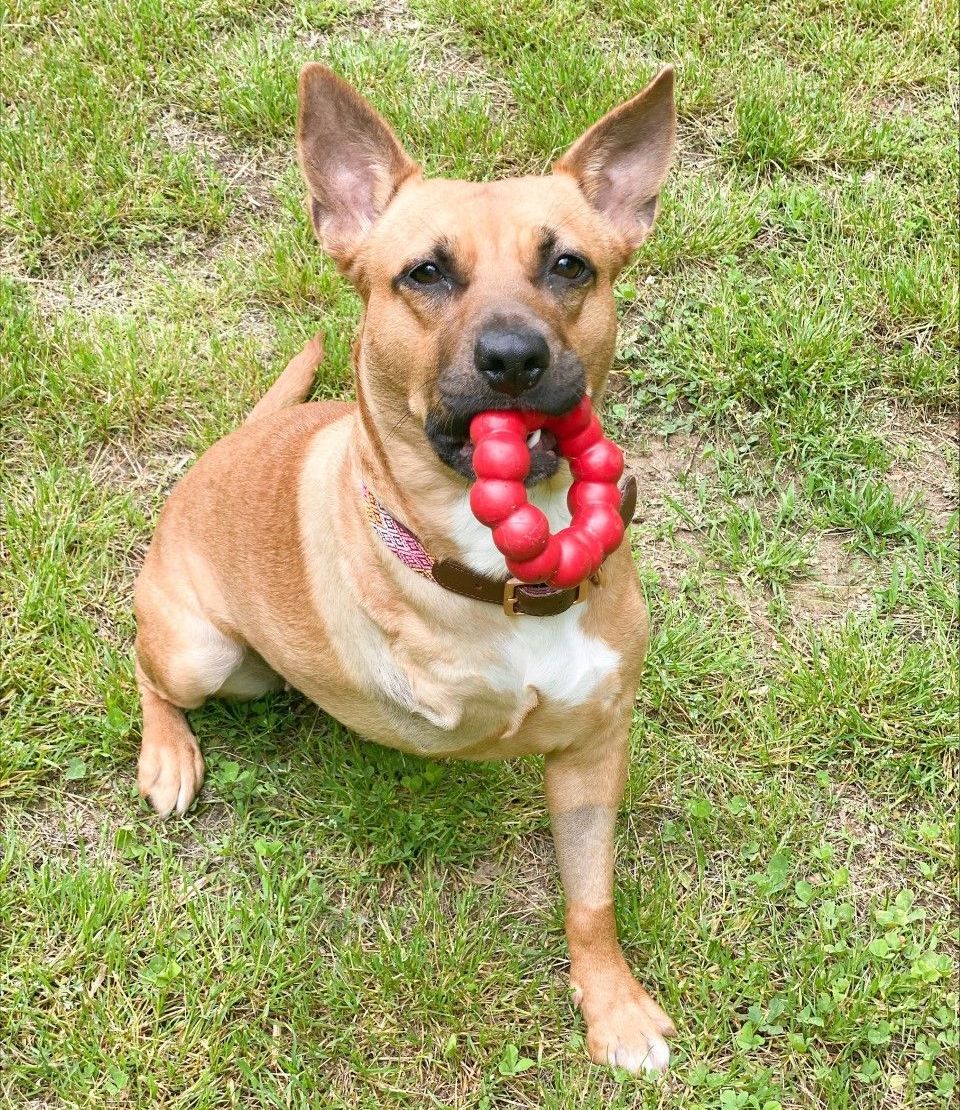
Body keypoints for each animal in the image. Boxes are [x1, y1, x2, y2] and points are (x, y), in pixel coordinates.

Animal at [133, 62, 674, 1074]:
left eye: (569, 266)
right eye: (425, 272)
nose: (514, 358)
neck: (507, 575)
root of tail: (225, 447)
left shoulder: (593, 747)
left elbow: (591, 900)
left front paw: (613, 1004)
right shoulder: (448, 692)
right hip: (198, 654)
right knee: (147, 675)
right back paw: (168, 754)